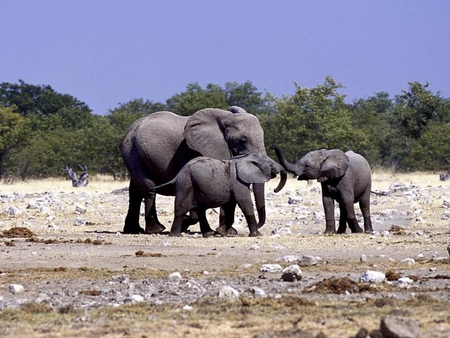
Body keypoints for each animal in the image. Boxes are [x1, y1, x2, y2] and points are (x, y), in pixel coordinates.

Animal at [153, 154, 286, 238]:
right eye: (271, 165)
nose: (275, 190)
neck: (245, 158)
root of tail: (178, 174)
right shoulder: (238, 182)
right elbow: (244, 203)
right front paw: (257, 235)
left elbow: (230, 206)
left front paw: (221, 232)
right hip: (186, 184)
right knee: (181, 209)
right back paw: (176, 235)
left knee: (200, 211)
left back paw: (209, 234)